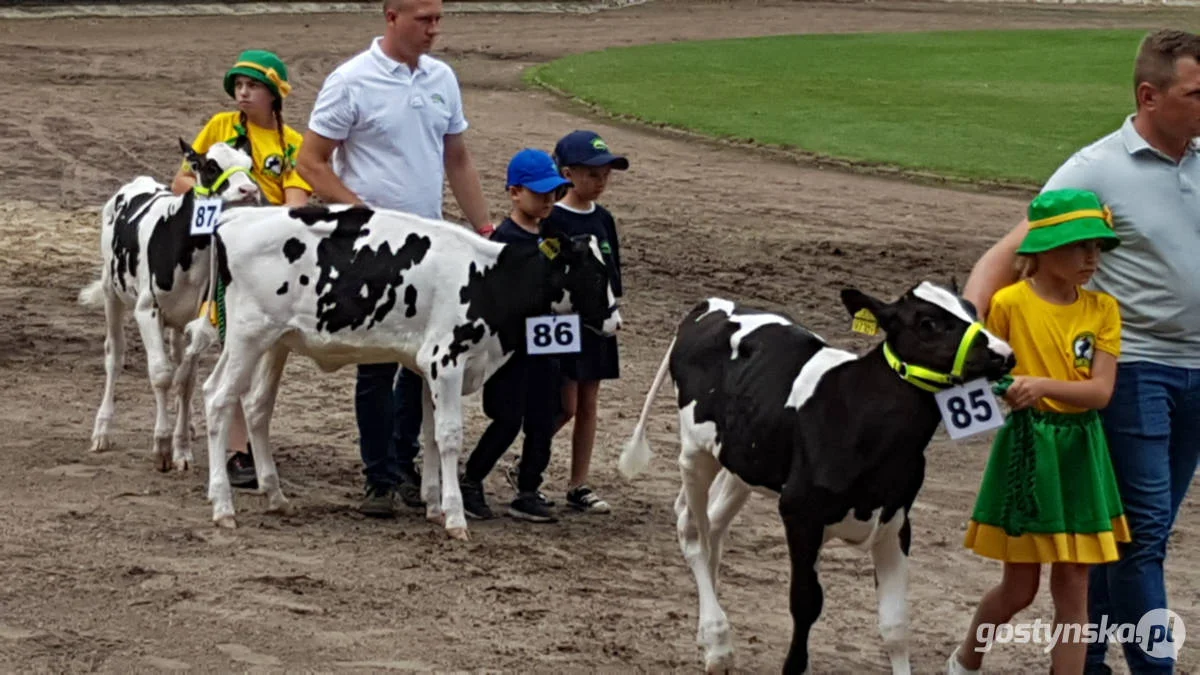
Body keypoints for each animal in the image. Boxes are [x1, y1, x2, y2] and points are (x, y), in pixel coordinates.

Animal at [79, 139, 260, 470]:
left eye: (248, 165)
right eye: (210, 166)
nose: (249, 190)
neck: (187, 250)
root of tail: (138, 182)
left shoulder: (198, 318)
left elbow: (185, 380)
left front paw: (182, 448)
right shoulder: (146, 311)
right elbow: (161, 374)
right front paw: (162, 444)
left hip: (177, 321)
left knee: (177, 360)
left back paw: (187, 426)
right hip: (112, 292)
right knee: (114, 356)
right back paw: (102, 430)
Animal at [187, 205, 624, 535]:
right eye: (596, 273)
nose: (616, 322)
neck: (485, 278)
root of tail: (236, 217)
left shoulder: (427, 366)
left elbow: (428, 434)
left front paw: (433, 506)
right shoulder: (447, 360)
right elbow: (449, 437)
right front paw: (455, 517)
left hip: (274, 342)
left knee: (256, 406)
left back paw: (276, 497)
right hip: (248, 335)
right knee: (217, 398)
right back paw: (223, 506)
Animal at [619, 281, 1012, 667]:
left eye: (972, 310)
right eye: (927, 322)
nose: (1004, 353)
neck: (862, 417)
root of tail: (712, 303)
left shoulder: (896, 520)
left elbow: (896, 625)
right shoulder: (799, 513)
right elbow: (806, 602)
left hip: (742, 463)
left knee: (713, 525)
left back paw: (707, 636)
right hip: (695, 451)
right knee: (692, 530)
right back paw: (717, 643)